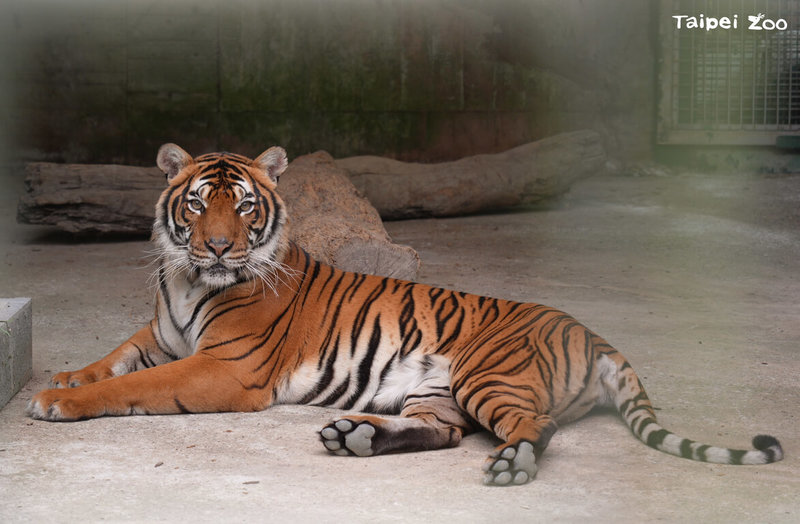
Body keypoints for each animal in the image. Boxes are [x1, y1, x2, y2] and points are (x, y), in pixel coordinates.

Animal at [26, 144, 788, 488]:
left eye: (243, 207)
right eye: (194, 204)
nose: (217, 246)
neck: (187, 281)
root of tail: (594, 333)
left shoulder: (225, 369)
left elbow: (132, 385)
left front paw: (57, 403)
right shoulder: (161, 336)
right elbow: (112, 358)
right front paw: (60, 379)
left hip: (488, 374)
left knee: (533, 427)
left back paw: (509, 464)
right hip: (436, 392)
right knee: (444, 435)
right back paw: (354, 437)